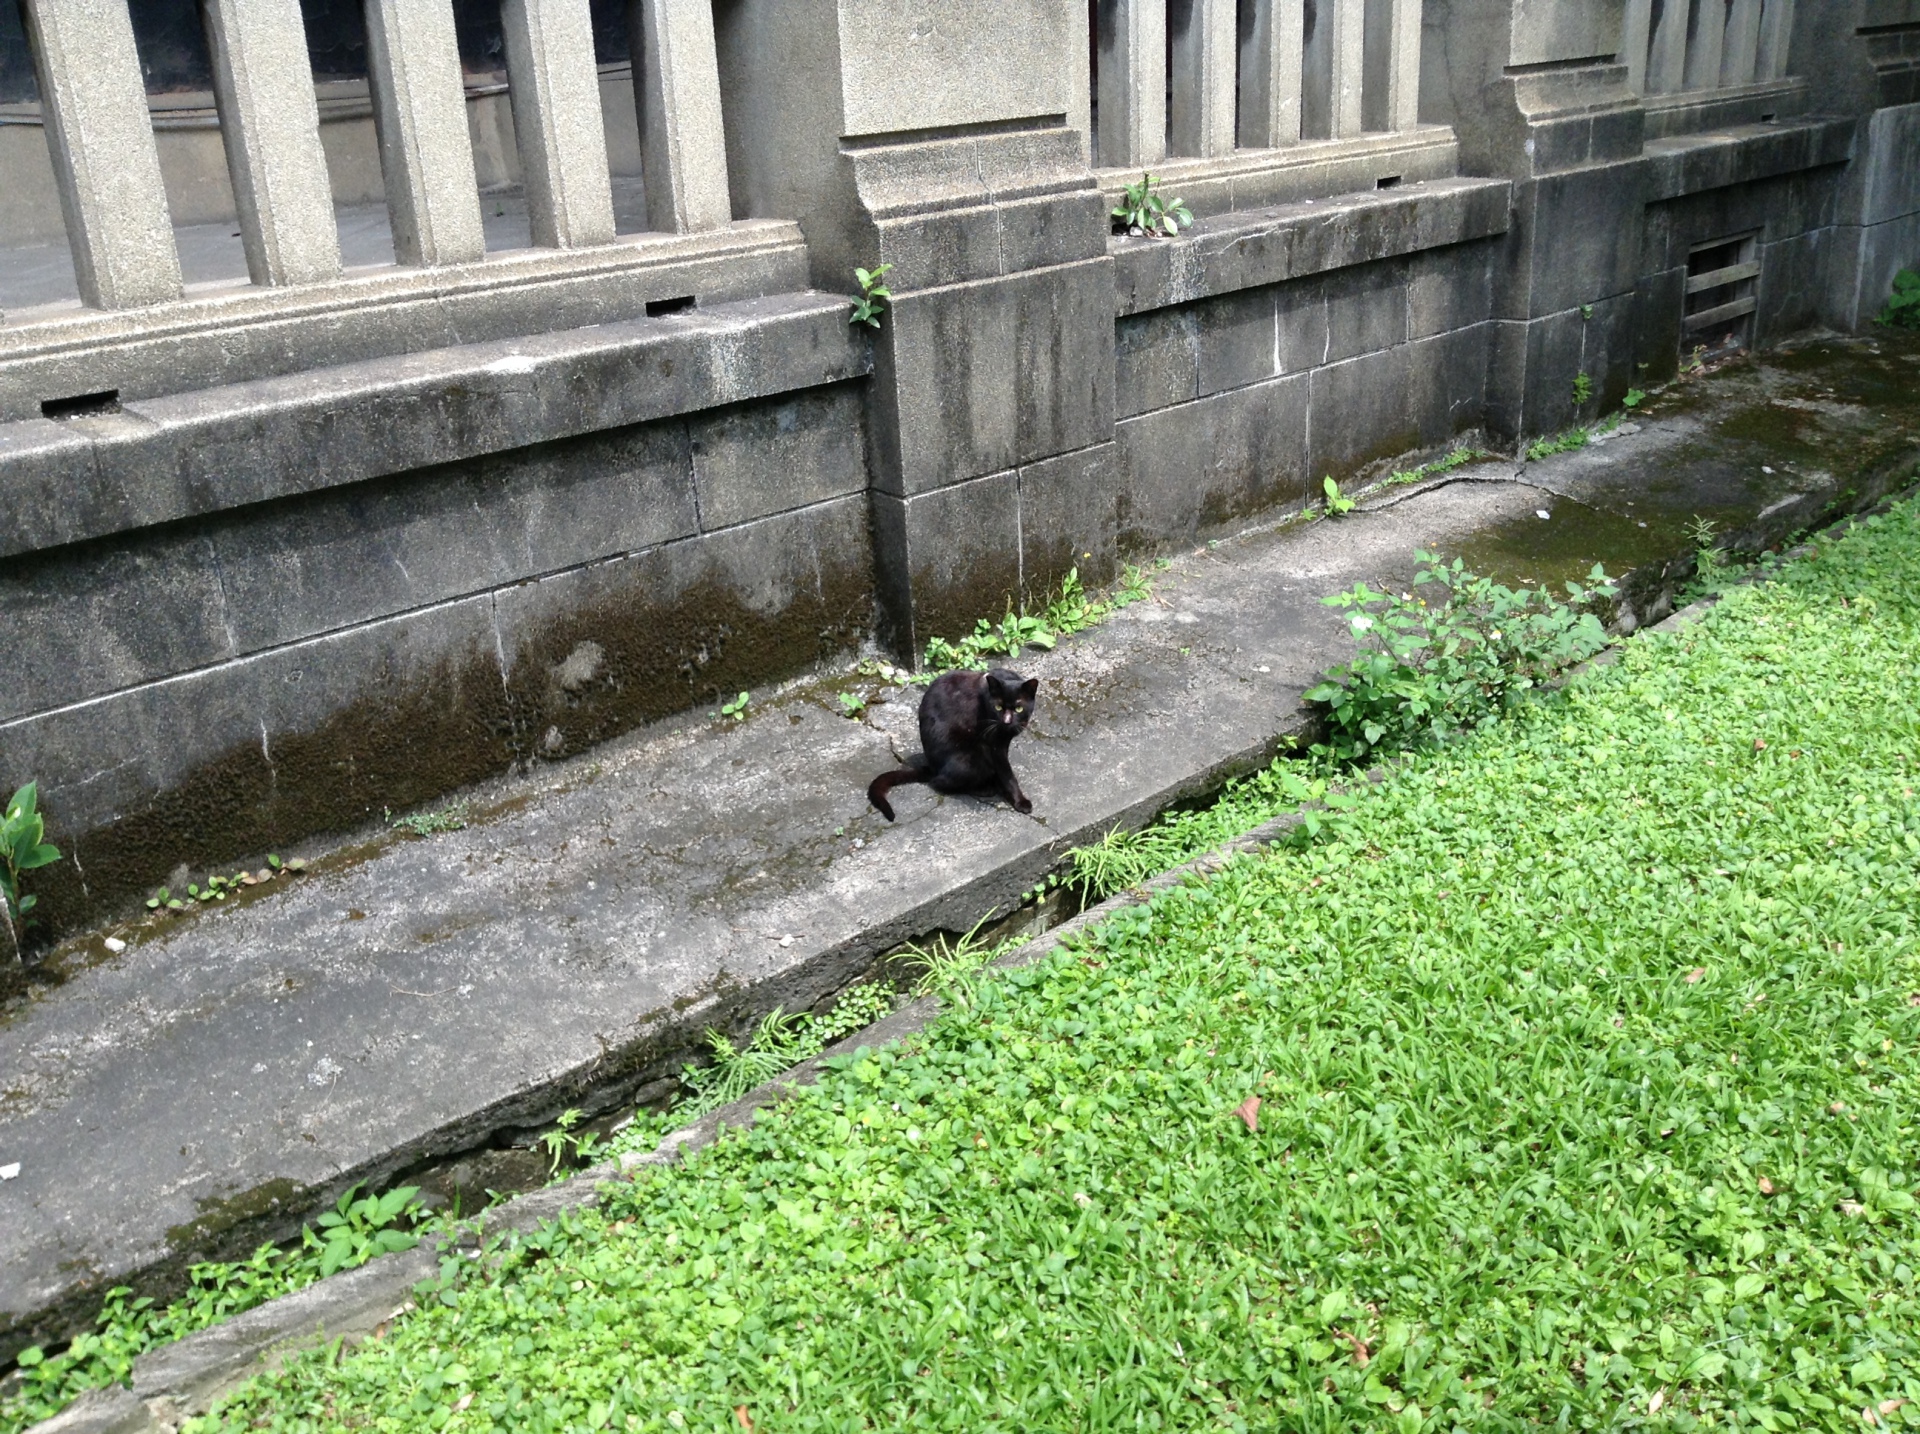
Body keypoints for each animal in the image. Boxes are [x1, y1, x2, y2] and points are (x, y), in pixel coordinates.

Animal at [867, 667, 1039, 821]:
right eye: (998, 707)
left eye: (1018, 708)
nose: (1007, 721)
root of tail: (932, 768)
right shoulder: (994, 744)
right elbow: (1007, 774)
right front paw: (1020, 801)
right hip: (970, 759)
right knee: (939, 782)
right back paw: (984, 788)